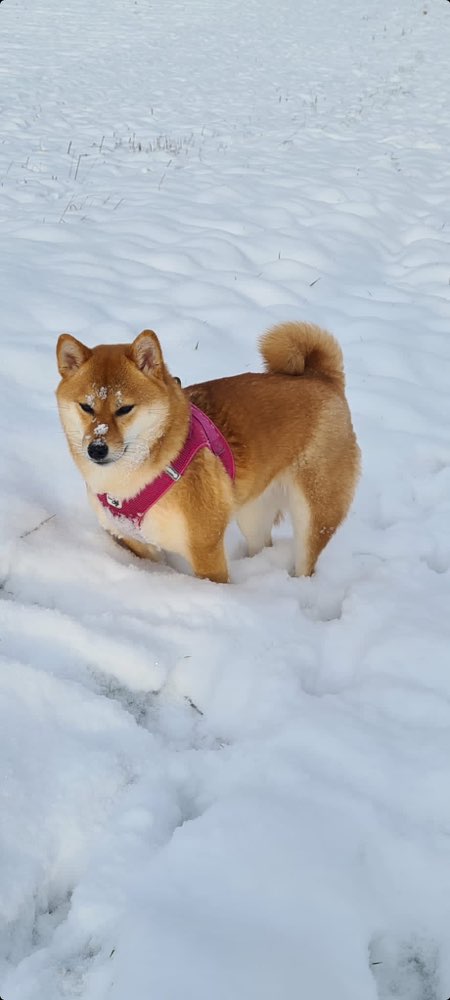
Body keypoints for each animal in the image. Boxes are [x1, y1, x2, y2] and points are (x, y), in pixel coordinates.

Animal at [56, 320, 360, 584]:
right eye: (86, 407)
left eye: (124, 409)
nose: (97, 449)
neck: (131, 481)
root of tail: (322, 378)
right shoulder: (137, 544)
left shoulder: (204, 548)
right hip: (253, 512)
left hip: (315, 513)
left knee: (306, 560)